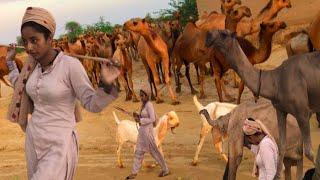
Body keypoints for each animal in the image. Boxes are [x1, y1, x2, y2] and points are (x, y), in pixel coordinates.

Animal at [205, 29, 320, 179]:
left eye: (224, 34)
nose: (207, 37)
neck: (274, 81)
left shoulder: (302, 112)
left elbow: (309, 152)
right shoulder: (281, 111)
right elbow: (282, 148)